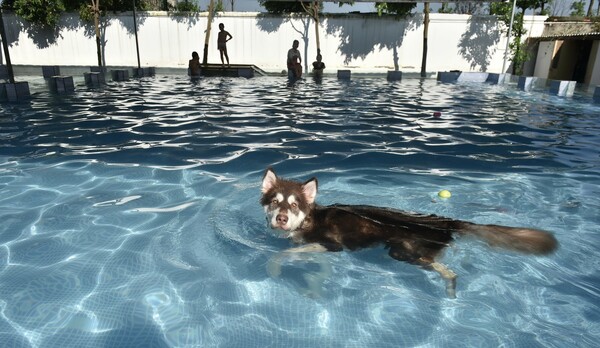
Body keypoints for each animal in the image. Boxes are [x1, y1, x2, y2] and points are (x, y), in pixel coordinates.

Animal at [260, 167, 560, 298]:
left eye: (294, 205)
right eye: (275, 202)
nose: (281, 218)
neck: (307, 221)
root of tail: (447, 221)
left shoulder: (332, 245)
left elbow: (279, 257)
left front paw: (274, 269)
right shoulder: (323, 252)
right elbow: (314, 270)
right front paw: (314, 287)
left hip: (403, 252)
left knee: (447, 271)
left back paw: (451, 286)